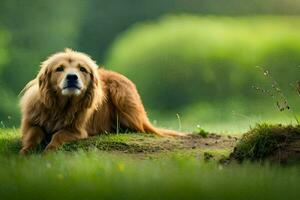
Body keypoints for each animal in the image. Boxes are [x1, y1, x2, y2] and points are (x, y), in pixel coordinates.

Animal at [19, 48, 184, 155]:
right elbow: (33, 133)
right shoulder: (30, 123)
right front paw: (27, 151)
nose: (72, 77)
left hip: (122, 95)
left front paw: (50, 149)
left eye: (82, 69)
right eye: (59, 69)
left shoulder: (76, 130)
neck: (61, 106)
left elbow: (59, 134)